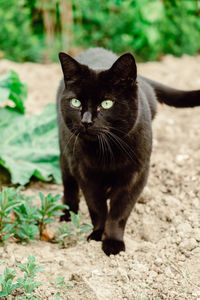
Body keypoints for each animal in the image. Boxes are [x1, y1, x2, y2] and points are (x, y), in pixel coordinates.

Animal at [55, 47, 200, 255]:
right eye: (75, 102)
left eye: (106, 103)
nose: (86, 121)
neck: (107, 152)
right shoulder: (85, 174)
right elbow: (97, 207)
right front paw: (97, 234)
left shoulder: (136, 175)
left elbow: (119, 211)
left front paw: (113, 243)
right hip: (65, 153)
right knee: (69, 186)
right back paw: (67, 214)